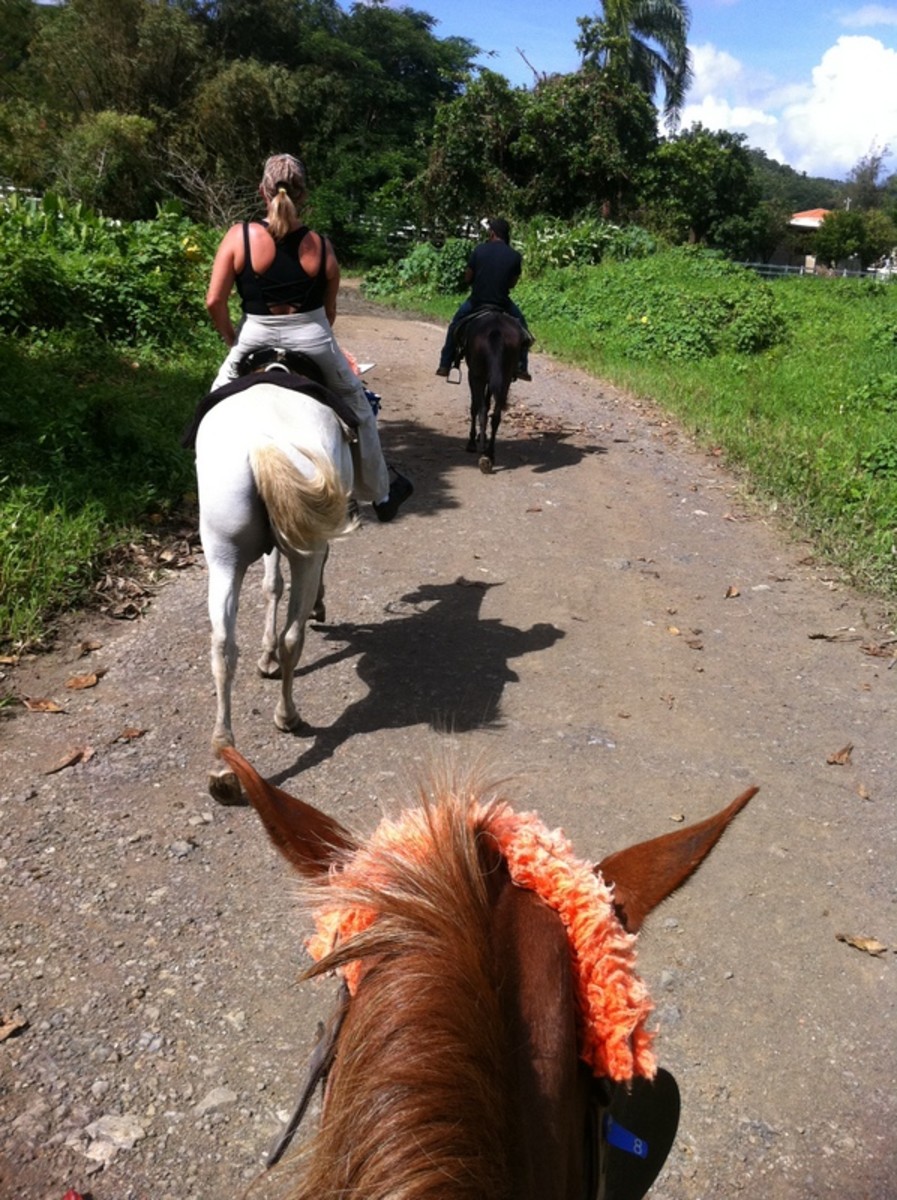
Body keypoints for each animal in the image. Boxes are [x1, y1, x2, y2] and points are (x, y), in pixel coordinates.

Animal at [194, 384, 354, 806]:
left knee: (223, 647)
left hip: (222, 553)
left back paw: (223, 765)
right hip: (305, 547)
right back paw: (288, 715)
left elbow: (270, 585)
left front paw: (264, 658)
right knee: (292, 637)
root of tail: (260, 441)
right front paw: (317, 608)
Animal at [462, 309, 525, 472]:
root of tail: (496, 330)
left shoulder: (474, 376)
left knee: (482, 411)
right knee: (496, 415)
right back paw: (489, 455)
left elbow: (475, 406)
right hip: (505, 378)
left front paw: (473, 440)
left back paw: (482, 453)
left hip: (477, 376)